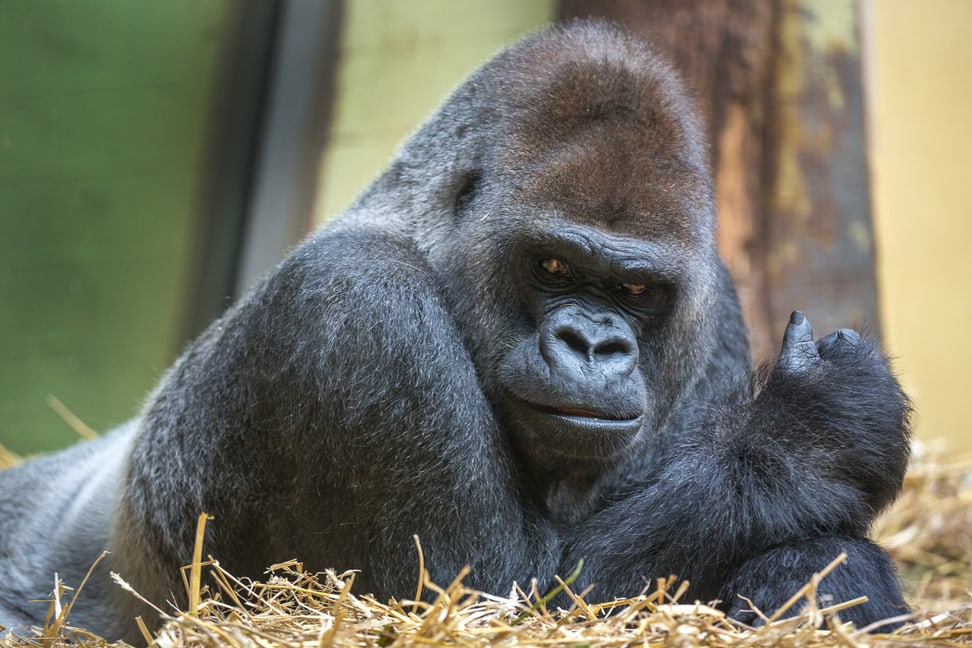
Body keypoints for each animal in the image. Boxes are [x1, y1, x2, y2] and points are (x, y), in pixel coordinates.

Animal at [1, 20, 912, 644]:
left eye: (635, 290)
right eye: (552, 267)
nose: (593, 346)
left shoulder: (711, 306)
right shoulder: (362, 309)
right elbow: (499, 603)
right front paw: (810, 435)